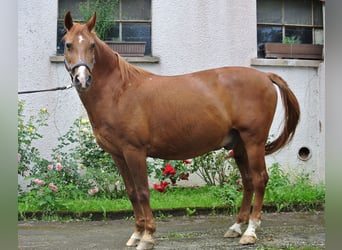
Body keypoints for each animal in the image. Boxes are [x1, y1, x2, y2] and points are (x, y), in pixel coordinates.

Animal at [63, 12, 300, 250]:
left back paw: (250, 231)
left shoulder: (134, 151)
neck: (120, 91)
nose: (82, 79)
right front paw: (137, 234)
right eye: (67, 44)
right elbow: (131, 192)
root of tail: (265, 76)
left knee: (260, 179)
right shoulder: (118, 154)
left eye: (92, 45)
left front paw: (147, 236)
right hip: (240, 144)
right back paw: (235, 227)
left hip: (254, 141)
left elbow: (142, 192)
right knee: (248, 181)